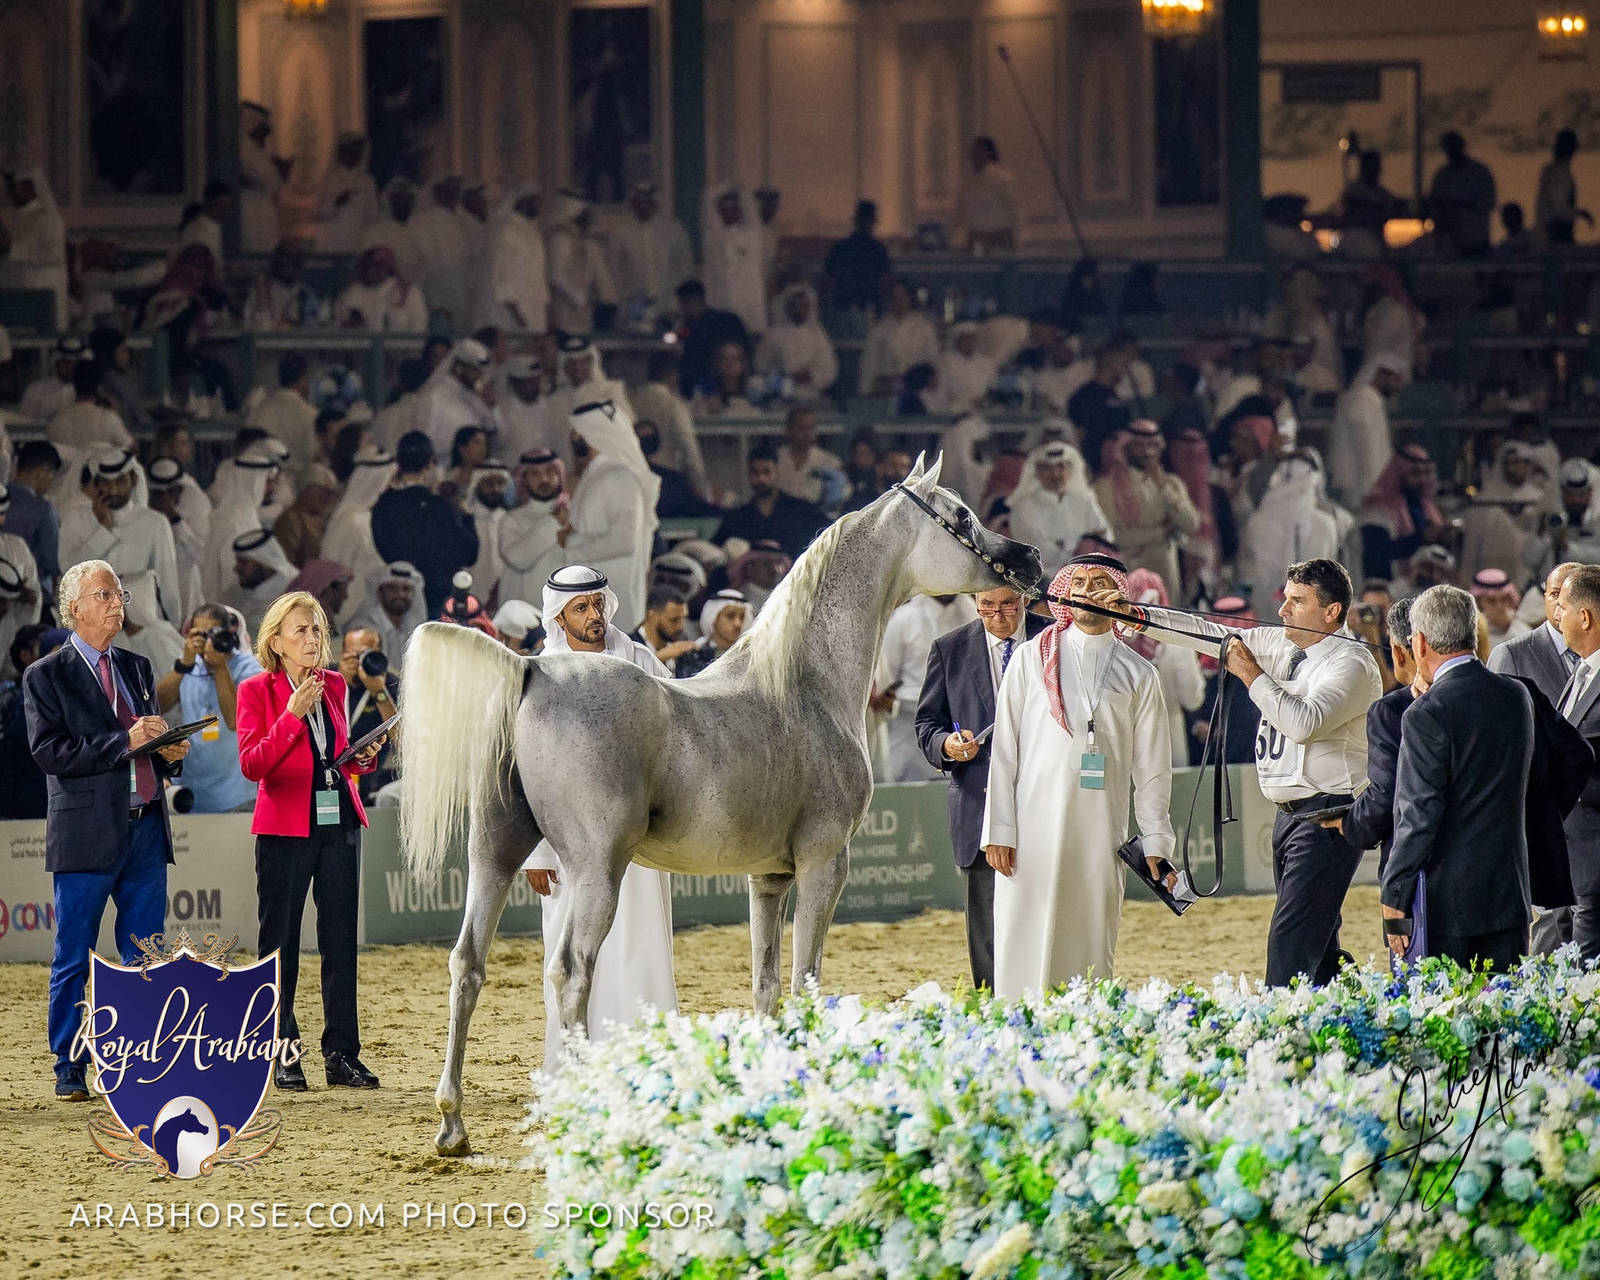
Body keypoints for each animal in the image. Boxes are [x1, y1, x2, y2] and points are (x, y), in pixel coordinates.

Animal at [400, 454, 1041, 1156]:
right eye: (961, 517)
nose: (1031, 559)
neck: (803, 684)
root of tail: (532, 670)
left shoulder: (769, 877)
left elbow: (766, 986)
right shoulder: (825, 864)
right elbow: (805, 980)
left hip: (494, 851)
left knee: (467, 962)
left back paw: (452, 1125)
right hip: (595, 871)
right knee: (568, 971)